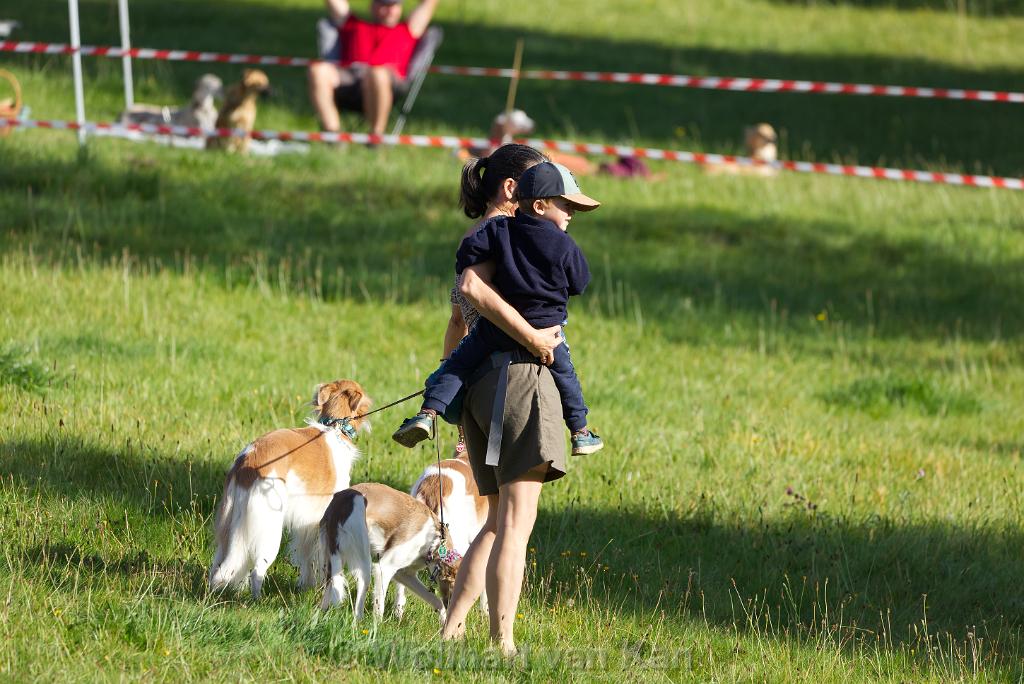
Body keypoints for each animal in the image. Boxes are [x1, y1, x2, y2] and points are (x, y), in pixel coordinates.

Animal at [208, 379, 371, 599]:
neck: (336, 428)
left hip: (230, 524)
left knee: (220, 566)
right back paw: (257, 599)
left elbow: (307, 556)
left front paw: (307, 586)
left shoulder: (308, 522)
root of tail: (247, 461)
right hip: (268, 528)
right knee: (256, 570)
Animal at [319, 482, 461, 622]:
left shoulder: (404, 574)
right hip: (363, 560)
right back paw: (359, 622)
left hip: (334, 557)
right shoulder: (384, 568)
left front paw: (444, 622)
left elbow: (436, 601)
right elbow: (379, 607)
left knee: (329, 586)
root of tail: (343, 499)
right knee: (359, 598)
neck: (436, 540)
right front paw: (377, 626)